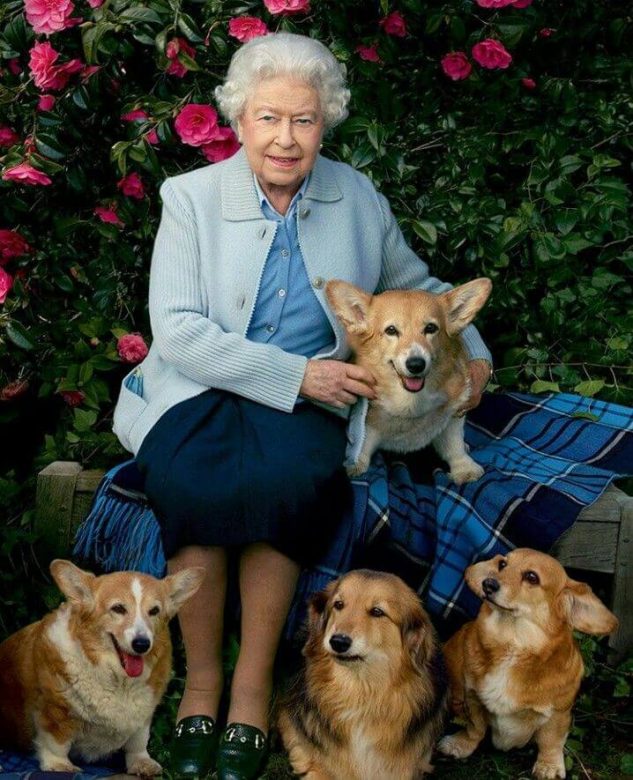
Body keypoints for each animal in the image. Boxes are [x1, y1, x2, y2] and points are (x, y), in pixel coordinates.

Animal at [0, 560, 202, 772]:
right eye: (118, 608)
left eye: (154, 611)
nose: (142, 644)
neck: (118, 680)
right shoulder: (55, 711)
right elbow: (56, 742)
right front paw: (60, 765)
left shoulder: (143, 717)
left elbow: (138, 741)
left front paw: (142, 763)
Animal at [324, 276, 492, 482]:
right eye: (391, 330)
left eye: (430, 328)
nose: (416, 364)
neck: (410, 401)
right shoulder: (369, 425)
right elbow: (363, 443)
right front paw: (356, 463)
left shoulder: (454, 413)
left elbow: (454, 445)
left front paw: (465, 468)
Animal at [436, 548, 616, 780]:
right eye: (502, 564)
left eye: (532, 577)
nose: (488, 583)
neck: (513, 644)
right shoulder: (473, 698)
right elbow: (475, 727)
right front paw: (461, 744)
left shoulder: (558, 714)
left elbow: (551, 741)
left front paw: (548, 766)